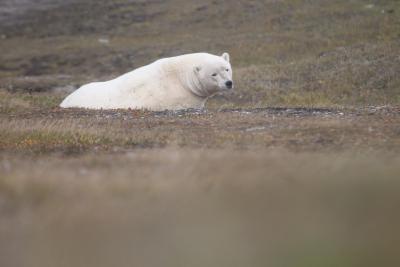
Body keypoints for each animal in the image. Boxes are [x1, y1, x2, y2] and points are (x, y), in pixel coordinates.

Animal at [60, 52, 233, 111]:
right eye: (213, 74)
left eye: (227, 69)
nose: (228, 83)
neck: (180, 78)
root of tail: (65, 100)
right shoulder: (176, 97)